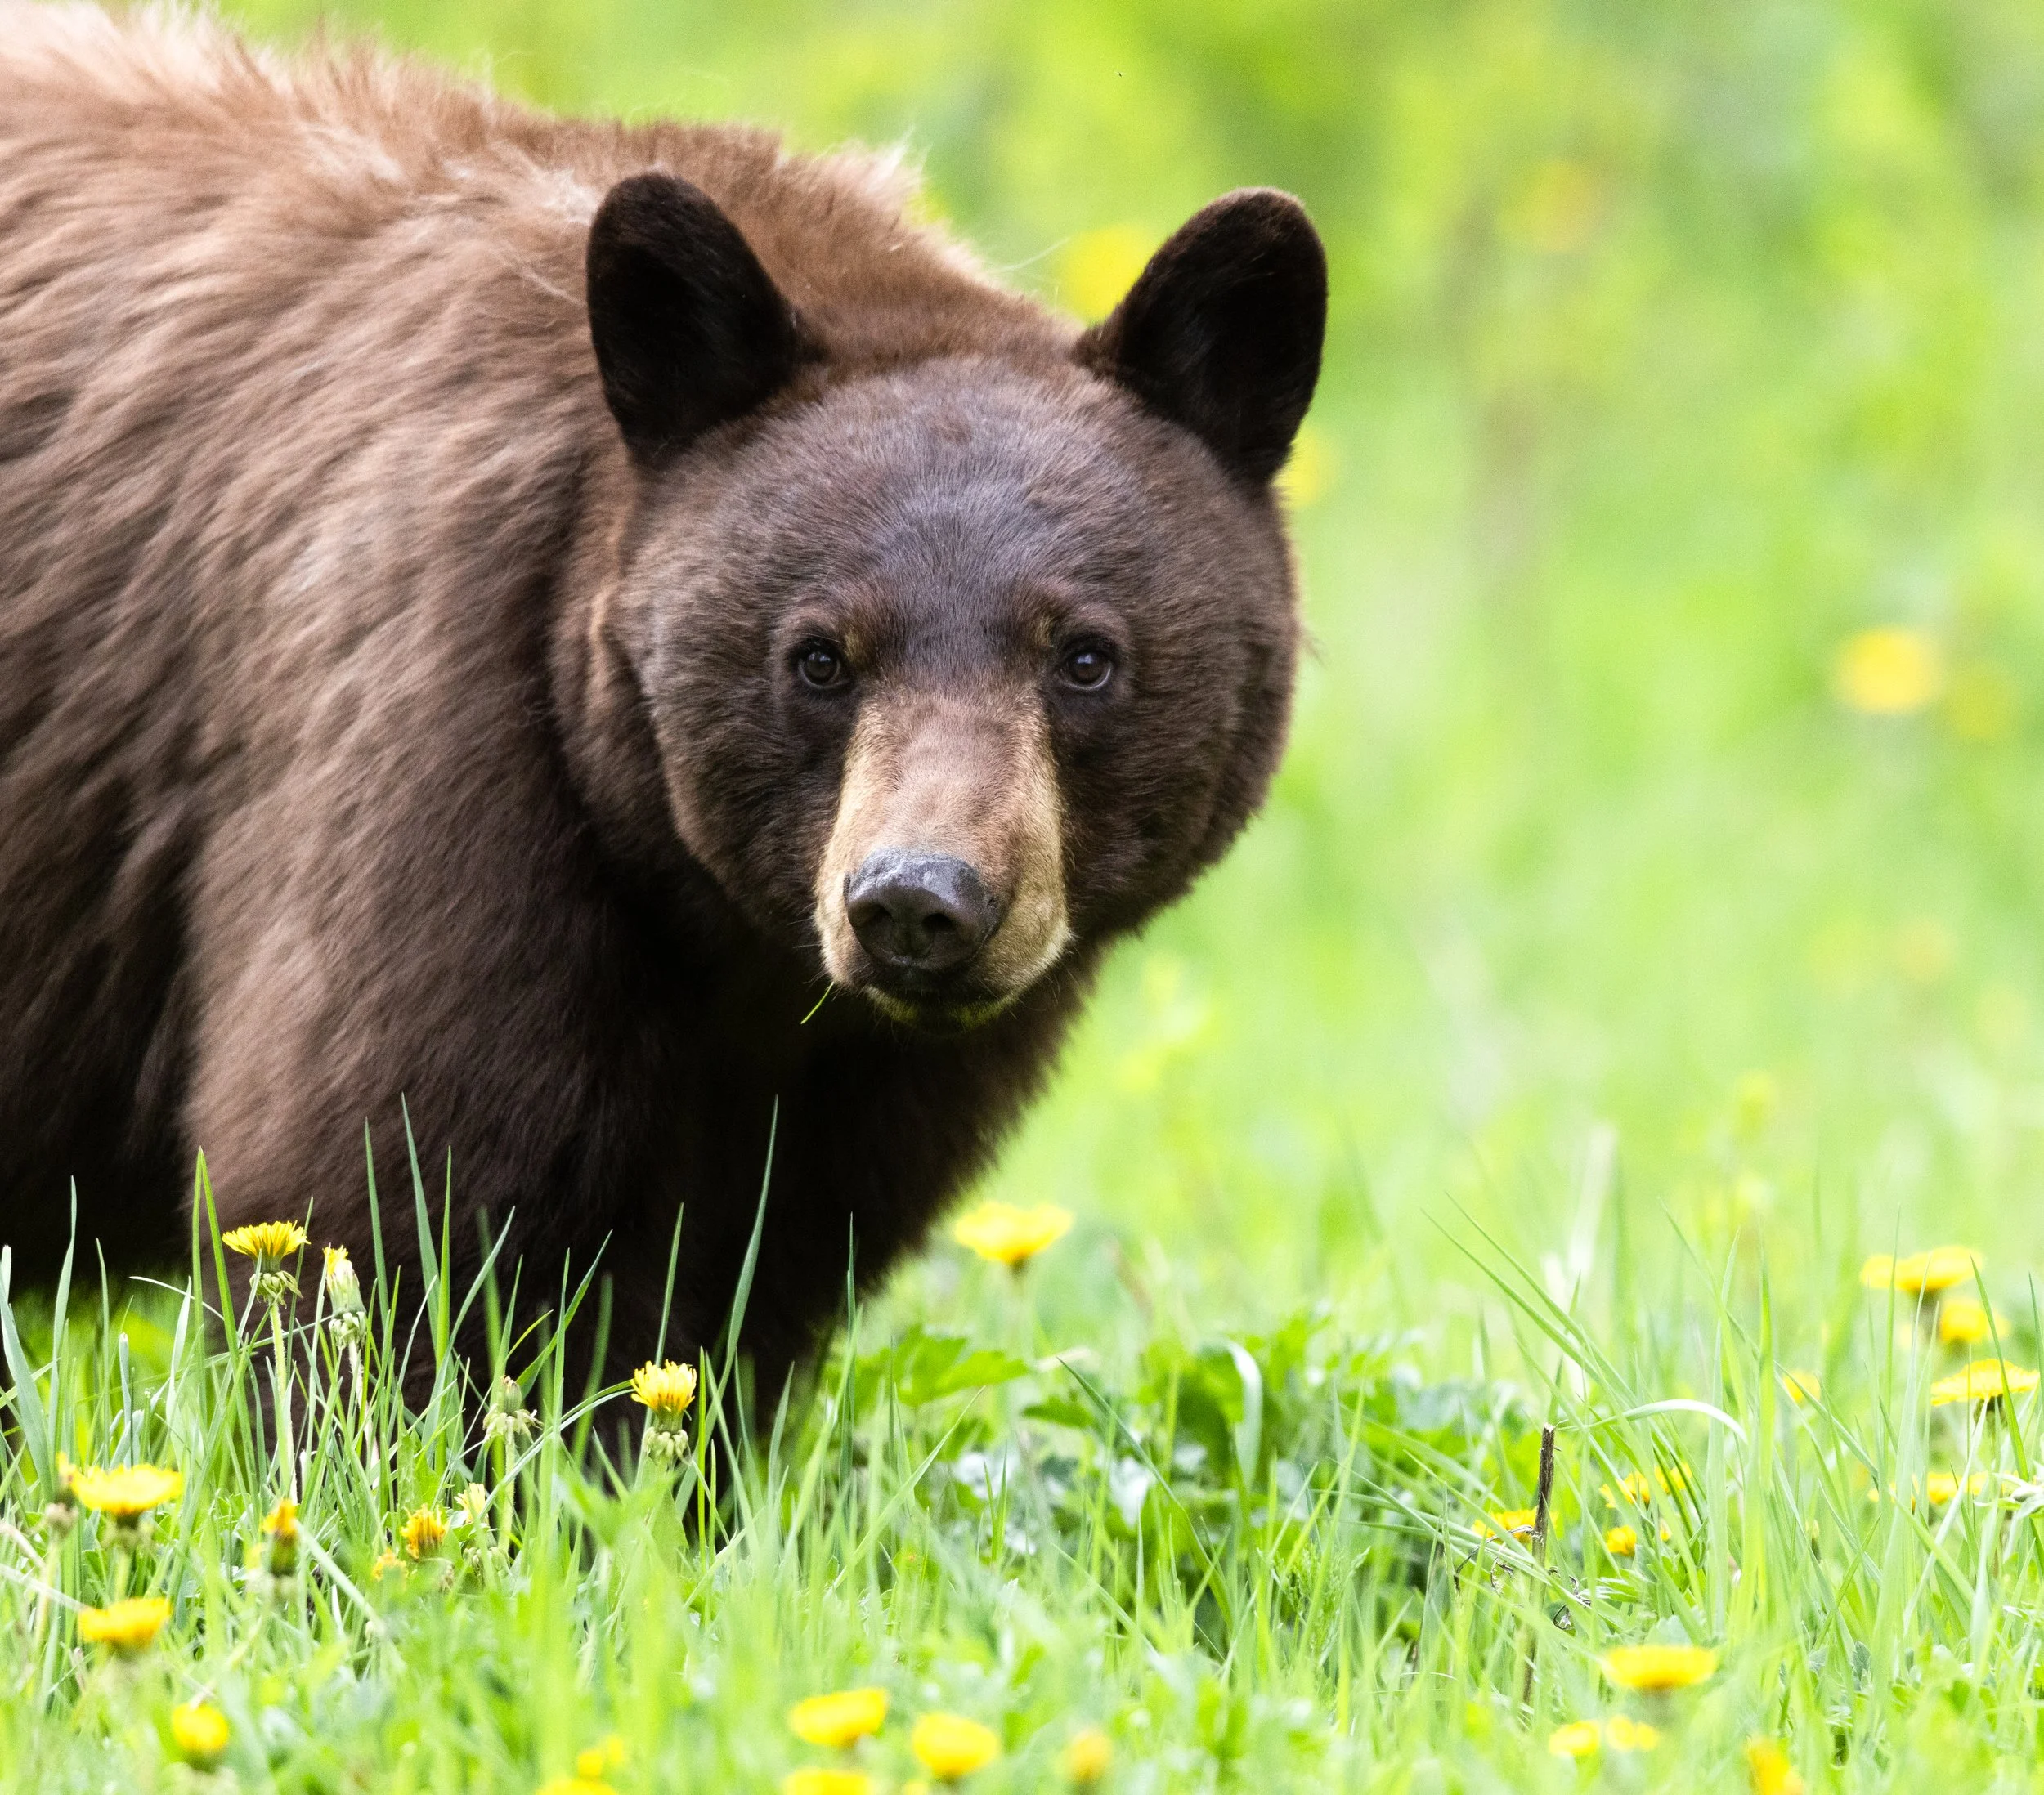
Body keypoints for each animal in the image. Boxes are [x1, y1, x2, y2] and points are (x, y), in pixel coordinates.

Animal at [0, 7, 1324, 1396]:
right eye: (818, 655)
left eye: (1084, 655)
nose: (918, 902)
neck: (729, 958)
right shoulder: (435, 761)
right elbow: (368, 1213)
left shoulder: (863, 1088)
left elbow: (739, 1302)